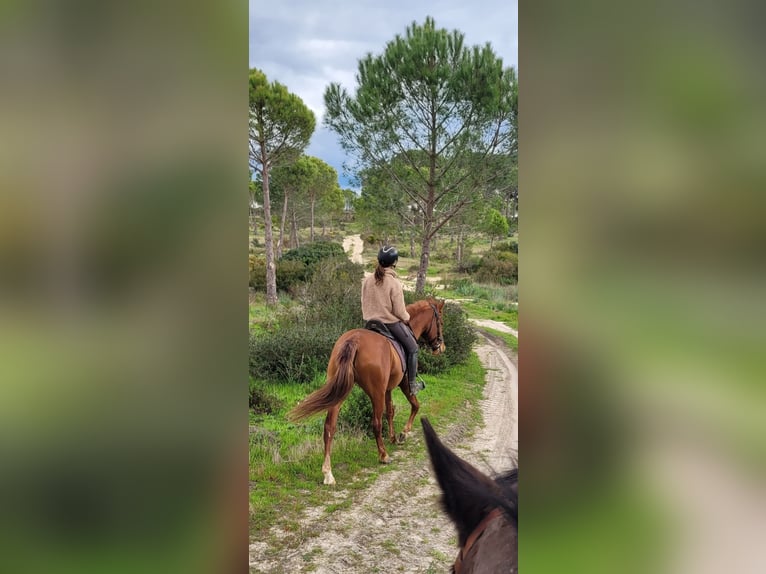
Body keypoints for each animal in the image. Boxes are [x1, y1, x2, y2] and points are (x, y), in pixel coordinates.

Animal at [287, 298, 446, 485]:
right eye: (440, 321)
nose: (441, 347)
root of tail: (354, 340)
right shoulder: (403, 383)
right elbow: (415, 405)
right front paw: (403, 433)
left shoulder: (387, 389)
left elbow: (390, 411)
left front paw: (393, 437)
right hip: (375, 393)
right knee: (376, 423)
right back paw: (383, 455)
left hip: (342, 391)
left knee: (329, 427)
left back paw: (328, 472)